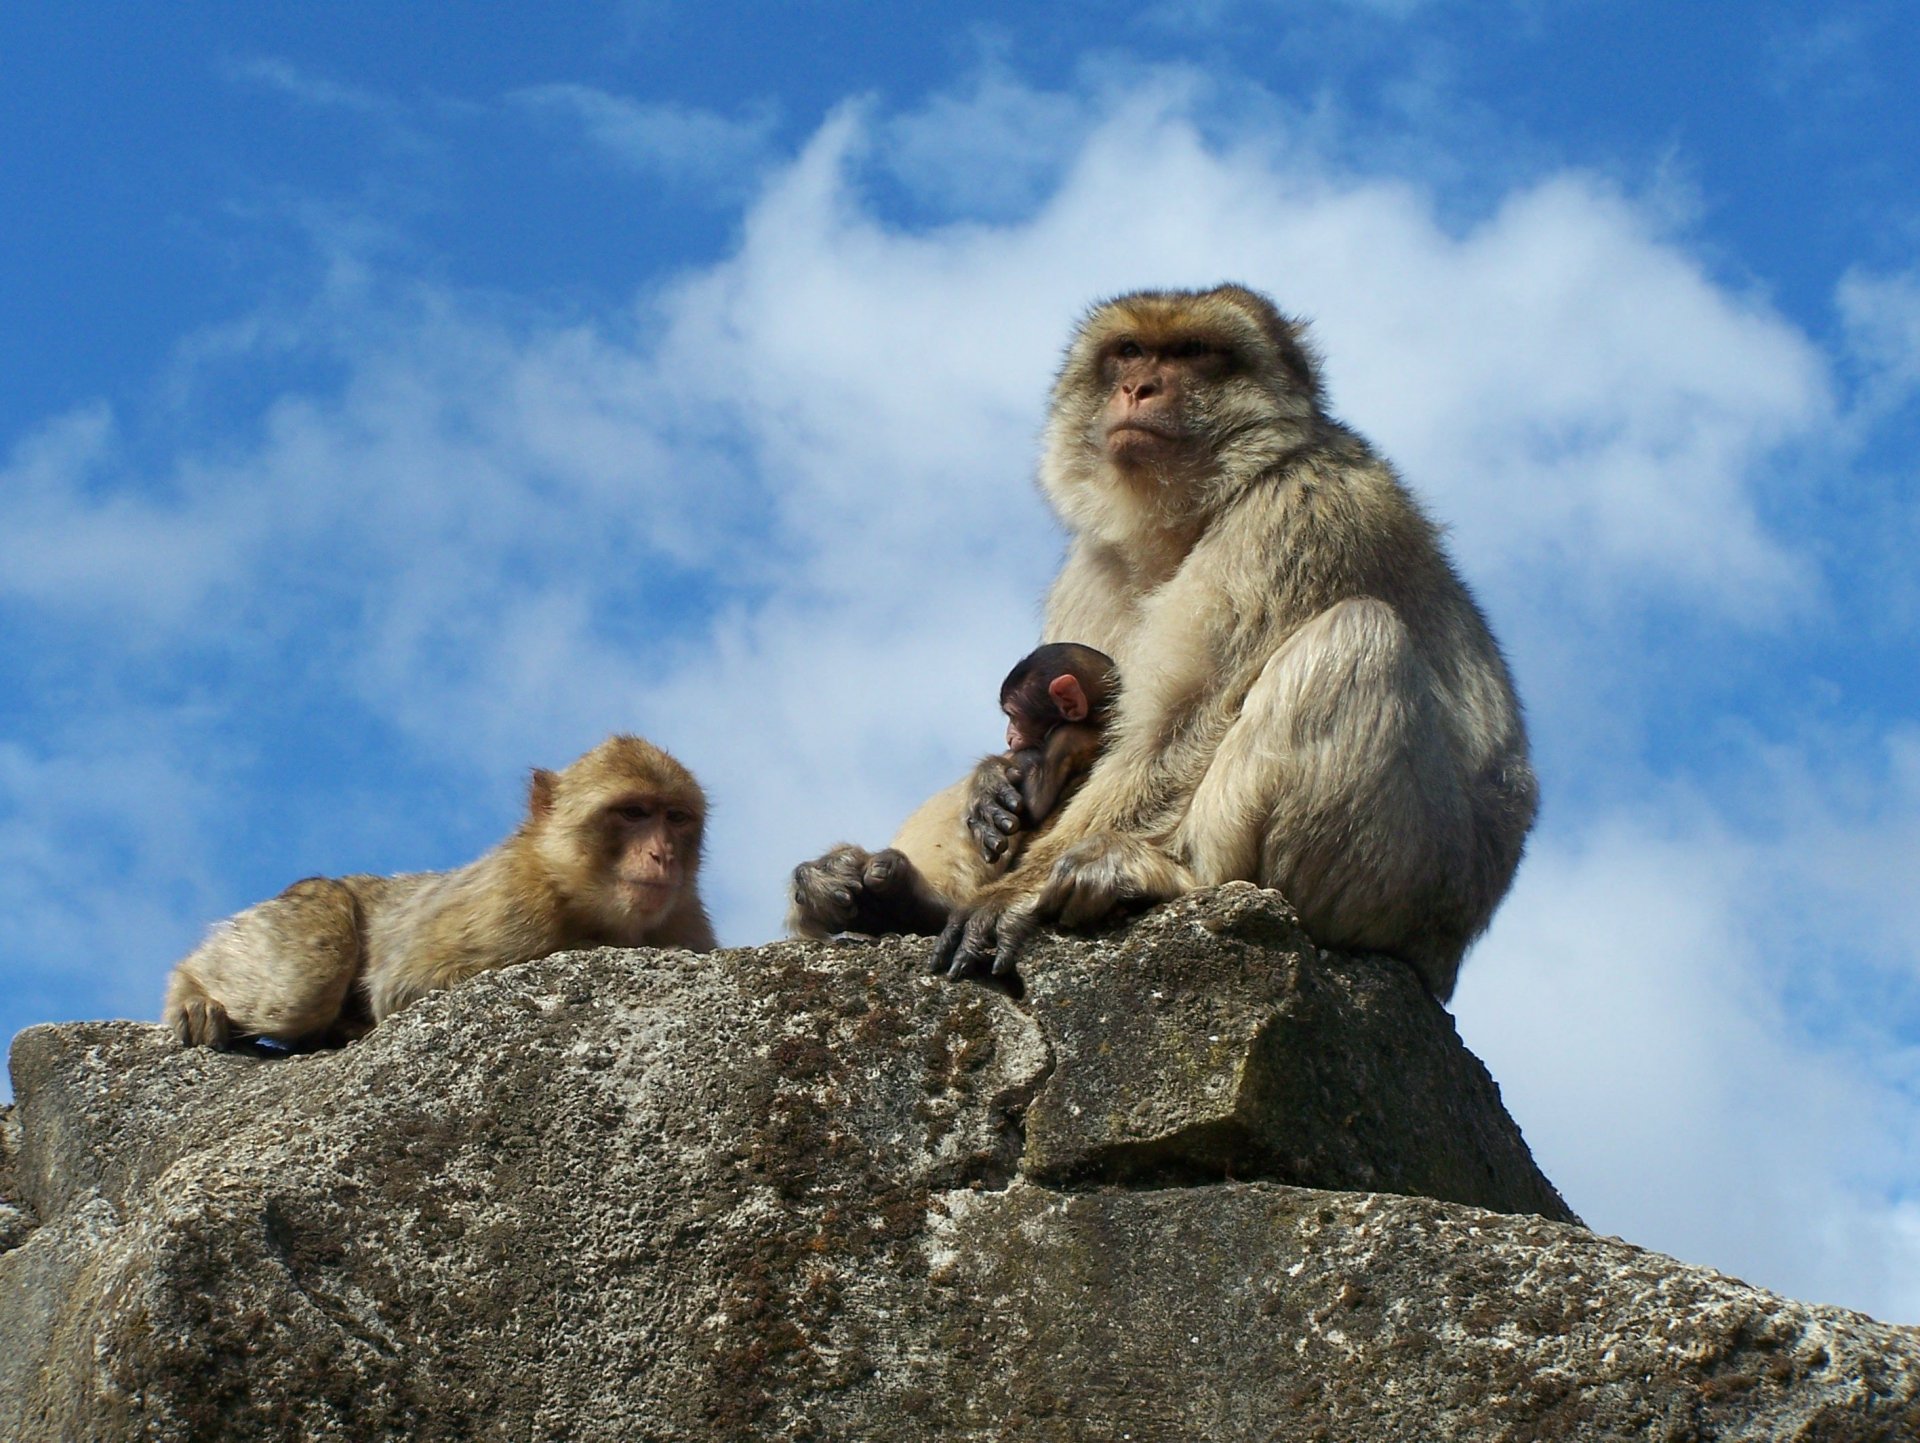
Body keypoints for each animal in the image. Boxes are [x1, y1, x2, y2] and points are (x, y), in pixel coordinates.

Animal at [165, 736, 714, 1051]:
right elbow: (404, 987)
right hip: (300, 908)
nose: (662, 855)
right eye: (634, 812)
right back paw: (192, 991)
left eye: (675, 818)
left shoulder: (687, 919)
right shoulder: (512, 898)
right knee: (305, 988)